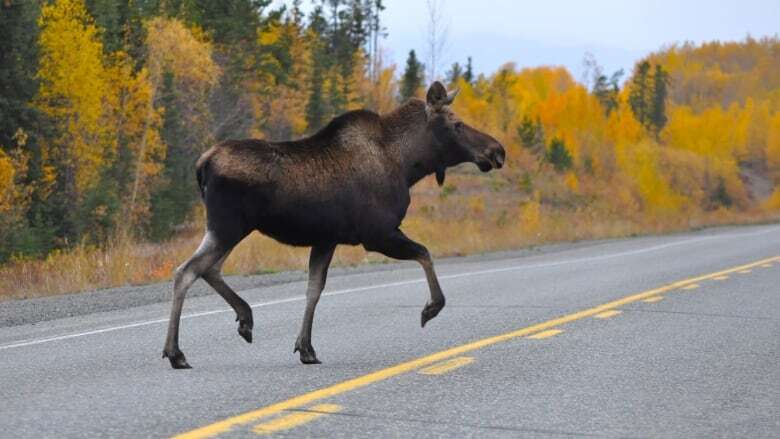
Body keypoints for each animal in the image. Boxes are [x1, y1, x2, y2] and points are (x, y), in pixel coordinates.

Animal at [163, 81, 506, 368]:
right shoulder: (377, 234)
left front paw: (306, 348)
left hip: (226, 229)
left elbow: (314, 290)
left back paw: (244, 318)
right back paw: (176, 352)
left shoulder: (326, 239)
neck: (409, 164)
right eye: (456, 124)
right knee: (187, 271)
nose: (497, 151)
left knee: (206, 269)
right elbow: (425, 253)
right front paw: (431, 308)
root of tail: (202, 163)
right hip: (228, 227)